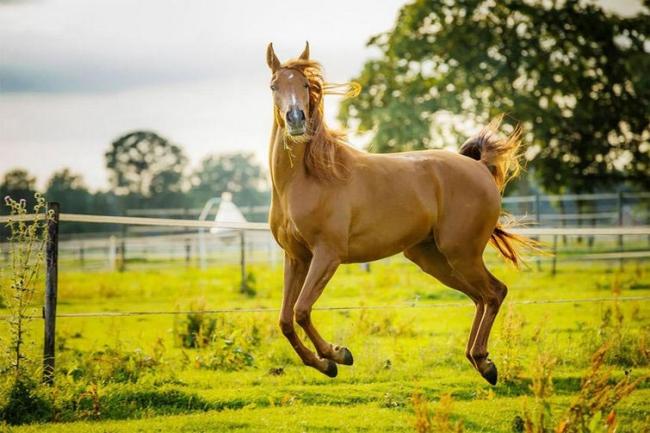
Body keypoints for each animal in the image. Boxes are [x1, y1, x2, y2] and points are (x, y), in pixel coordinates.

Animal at [262, 41, 532, 384]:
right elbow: (285, 319)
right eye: (274, 86)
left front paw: (337, 354)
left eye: (306, 85)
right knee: (480, 297)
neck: (307, 178)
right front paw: (324, 364)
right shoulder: (296, 257)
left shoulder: (327, 255)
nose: (296, 119)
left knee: (495, 292)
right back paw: (477, 358)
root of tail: (480, 167)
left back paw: (484, 363)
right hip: (434, 260)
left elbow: (301, 310)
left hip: (462, 254)